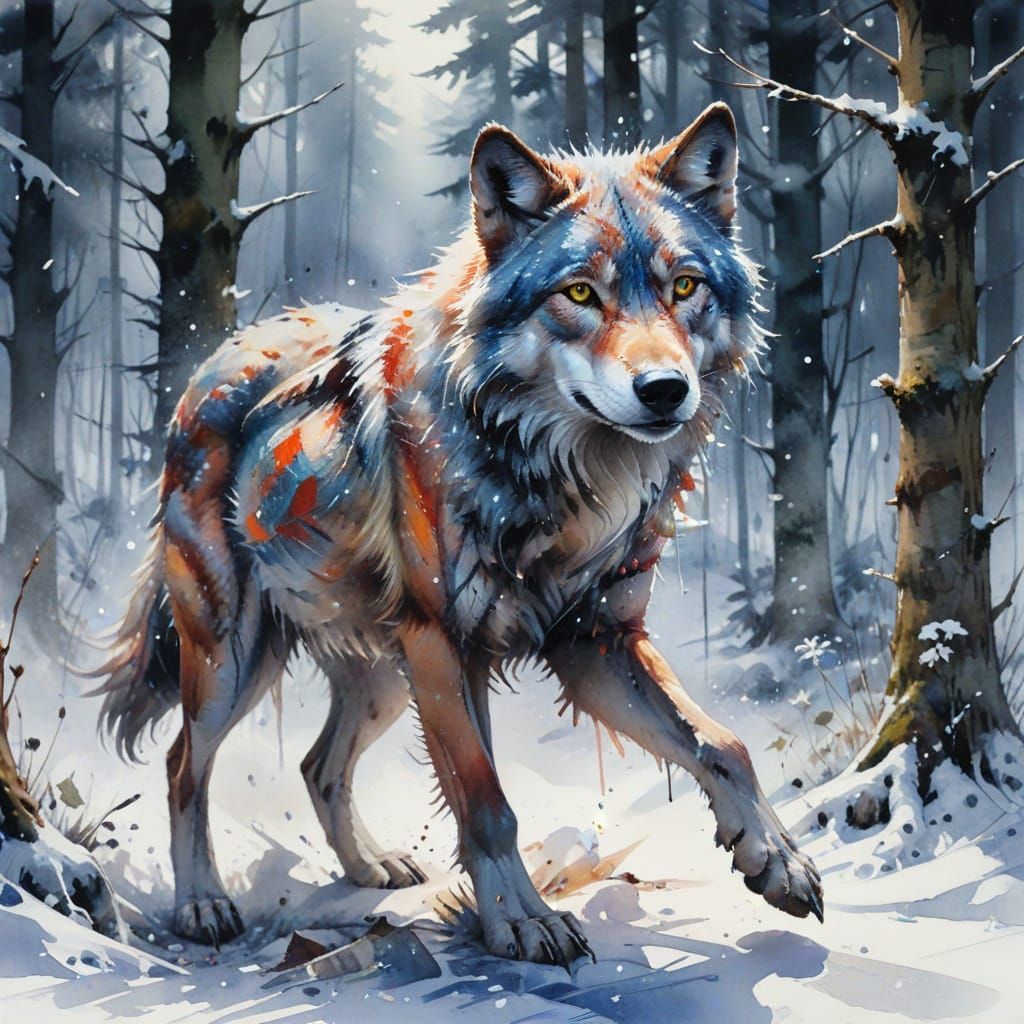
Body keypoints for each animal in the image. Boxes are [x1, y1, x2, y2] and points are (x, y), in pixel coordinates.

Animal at [90, 103, 822, 964]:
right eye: (580, 292)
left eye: (686, 287)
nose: (666, 390)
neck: (561, 481)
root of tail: (215, 359)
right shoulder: (444, 645)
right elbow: (485, 799)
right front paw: (523, 922)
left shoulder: (594, 641)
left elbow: (722, 744)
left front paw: (777, 860)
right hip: (234, 660)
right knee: (183, 765)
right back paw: (202, 905)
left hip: (379, 675)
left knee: (316, 765)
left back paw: (371, 867)